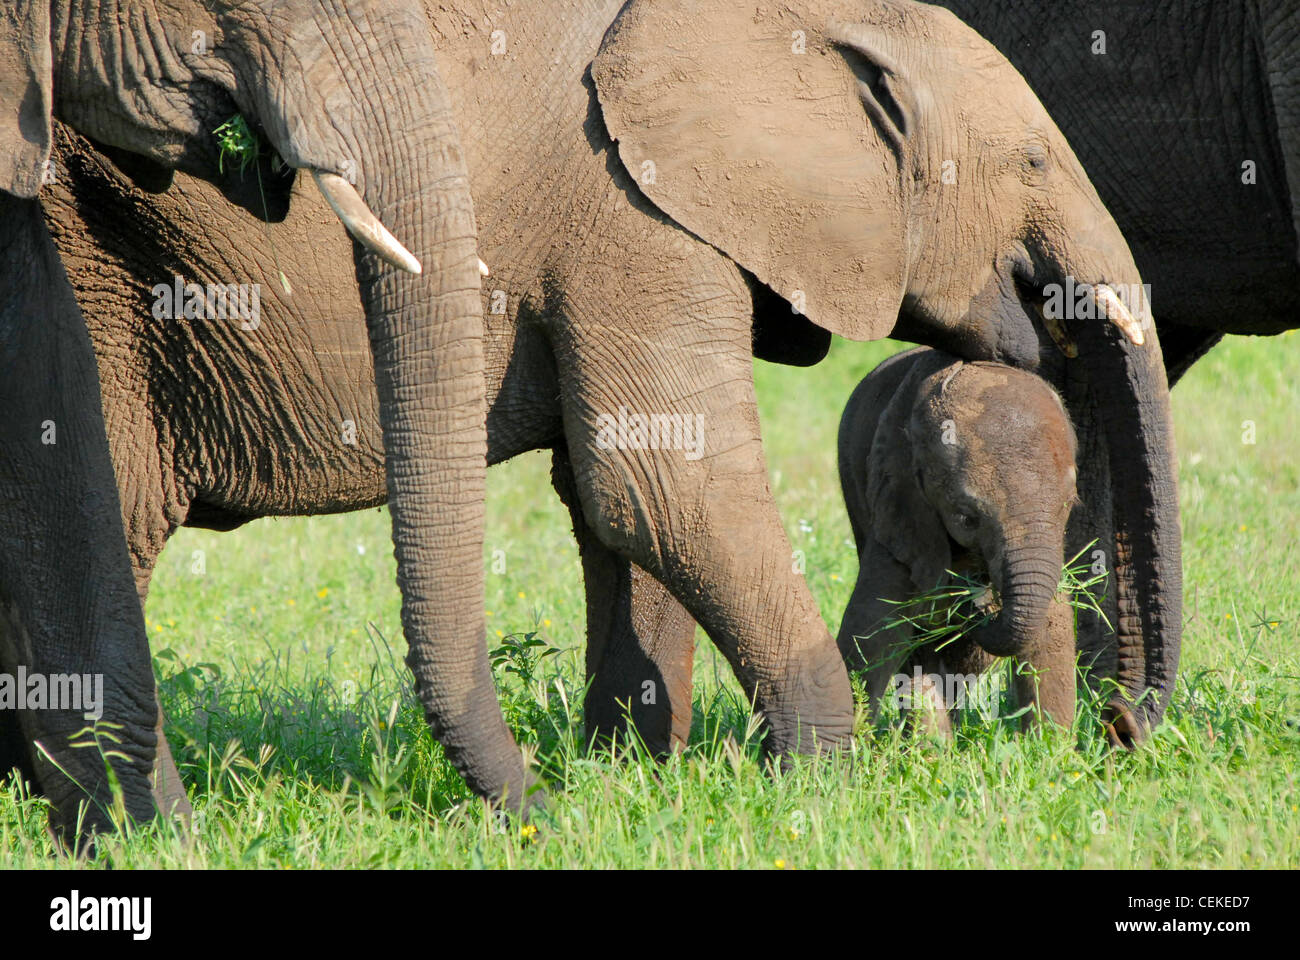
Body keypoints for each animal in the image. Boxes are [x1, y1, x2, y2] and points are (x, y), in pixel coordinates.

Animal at [837, 347, 1079, 736]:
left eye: (1068, 504)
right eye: (967, 516)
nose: (979, 604)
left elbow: (1051, 622)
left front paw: (1050, 746)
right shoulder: (901, 502)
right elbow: (872, 626)